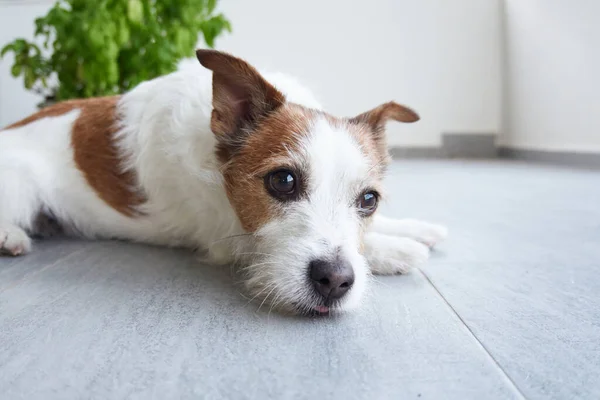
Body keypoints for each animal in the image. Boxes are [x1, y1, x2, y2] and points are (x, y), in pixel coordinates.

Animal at [0, 50, 446, 314]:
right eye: (283, 180)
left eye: (369, 199)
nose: (335, 280)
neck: (216, 161)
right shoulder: (227, 237)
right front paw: (397, 249)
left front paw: (414, 229)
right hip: (20, 186)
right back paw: (11, 237)